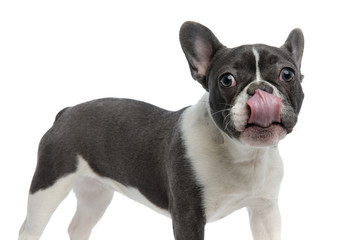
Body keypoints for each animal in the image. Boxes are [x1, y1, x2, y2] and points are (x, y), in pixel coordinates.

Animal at [19, 21, 304, 240]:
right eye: (227, 79)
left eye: (288, 74)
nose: (260, 89)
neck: (243, 153)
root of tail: (65, 112)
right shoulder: (188, 217)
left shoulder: (265, 211)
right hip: (48, 186)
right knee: (30, 229)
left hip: (95, 194)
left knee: (78, 227)